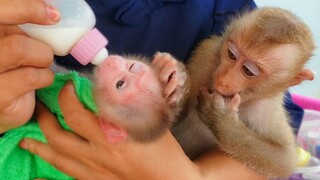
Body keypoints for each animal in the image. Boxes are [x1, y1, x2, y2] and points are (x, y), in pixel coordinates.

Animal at [172, 6, 316, 178]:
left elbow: (284, 160)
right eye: (231, 55)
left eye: (248, 70)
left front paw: (220, 119)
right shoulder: (205, 54)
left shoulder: (266, 110)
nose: (222, 78)